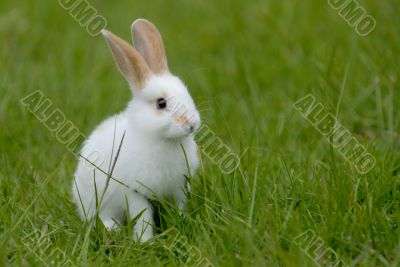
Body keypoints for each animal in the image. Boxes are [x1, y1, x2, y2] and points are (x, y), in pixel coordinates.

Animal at [71, 17, 200, 242]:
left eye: (187, 93)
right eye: (161, 103)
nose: (191, 124)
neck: (162, 140)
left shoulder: (178, 188)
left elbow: (180, 207)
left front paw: (183, 222)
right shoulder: (134, 192)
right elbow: (144, 217)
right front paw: (144, 241)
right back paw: (112, 229)